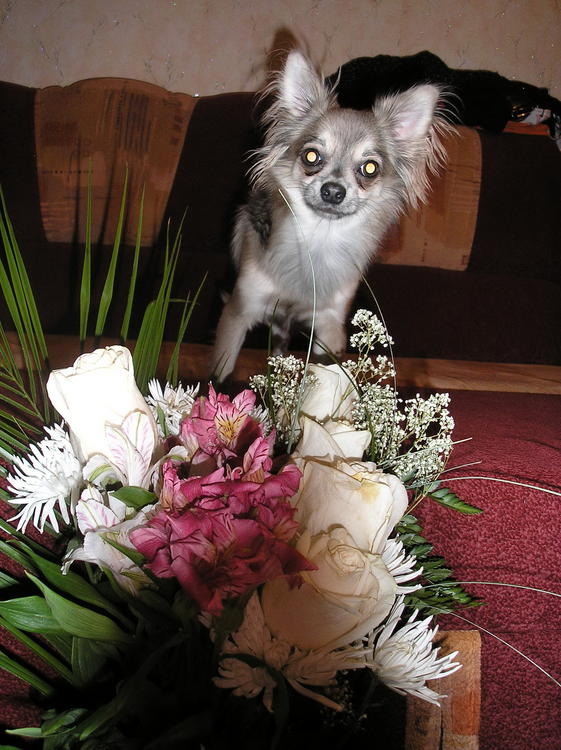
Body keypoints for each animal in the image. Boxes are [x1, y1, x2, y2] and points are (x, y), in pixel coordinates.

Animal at [211, 49, 450, 380]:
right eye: (311, 156)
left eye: (370, 168)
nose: (333, 191)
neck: (319, 239)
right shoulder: (238, 312)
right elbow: (221, 372)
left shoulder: (328, 325)